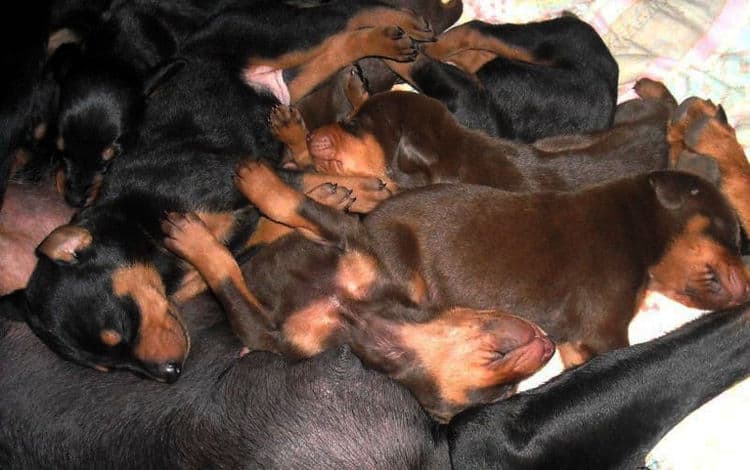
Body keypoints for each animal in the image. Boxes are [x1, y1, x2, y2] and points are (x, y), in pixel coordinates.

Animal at [162, 163, 556, 420]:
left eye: (504, 394)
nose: (550, 345)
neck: (360, 316)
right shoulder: (347, 237)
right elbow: (291, 206)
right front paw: (258, 183)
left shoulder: (263, 333)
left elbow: (227, 280)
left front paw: (194, 241)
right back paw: (329, 191)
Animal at [364, 171, 750, 370]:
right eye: (732, 235)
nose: (747, 289)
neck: (636, 226)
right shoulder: (604, 331)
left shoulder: (577, 340)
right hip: (398, 255)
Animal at [384, 13, 620, 140]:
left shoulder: (465, 96)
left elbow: (416, 66)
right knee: (479, 45)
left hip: (541, 42)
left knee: (477, 31)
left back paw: (430, 47)